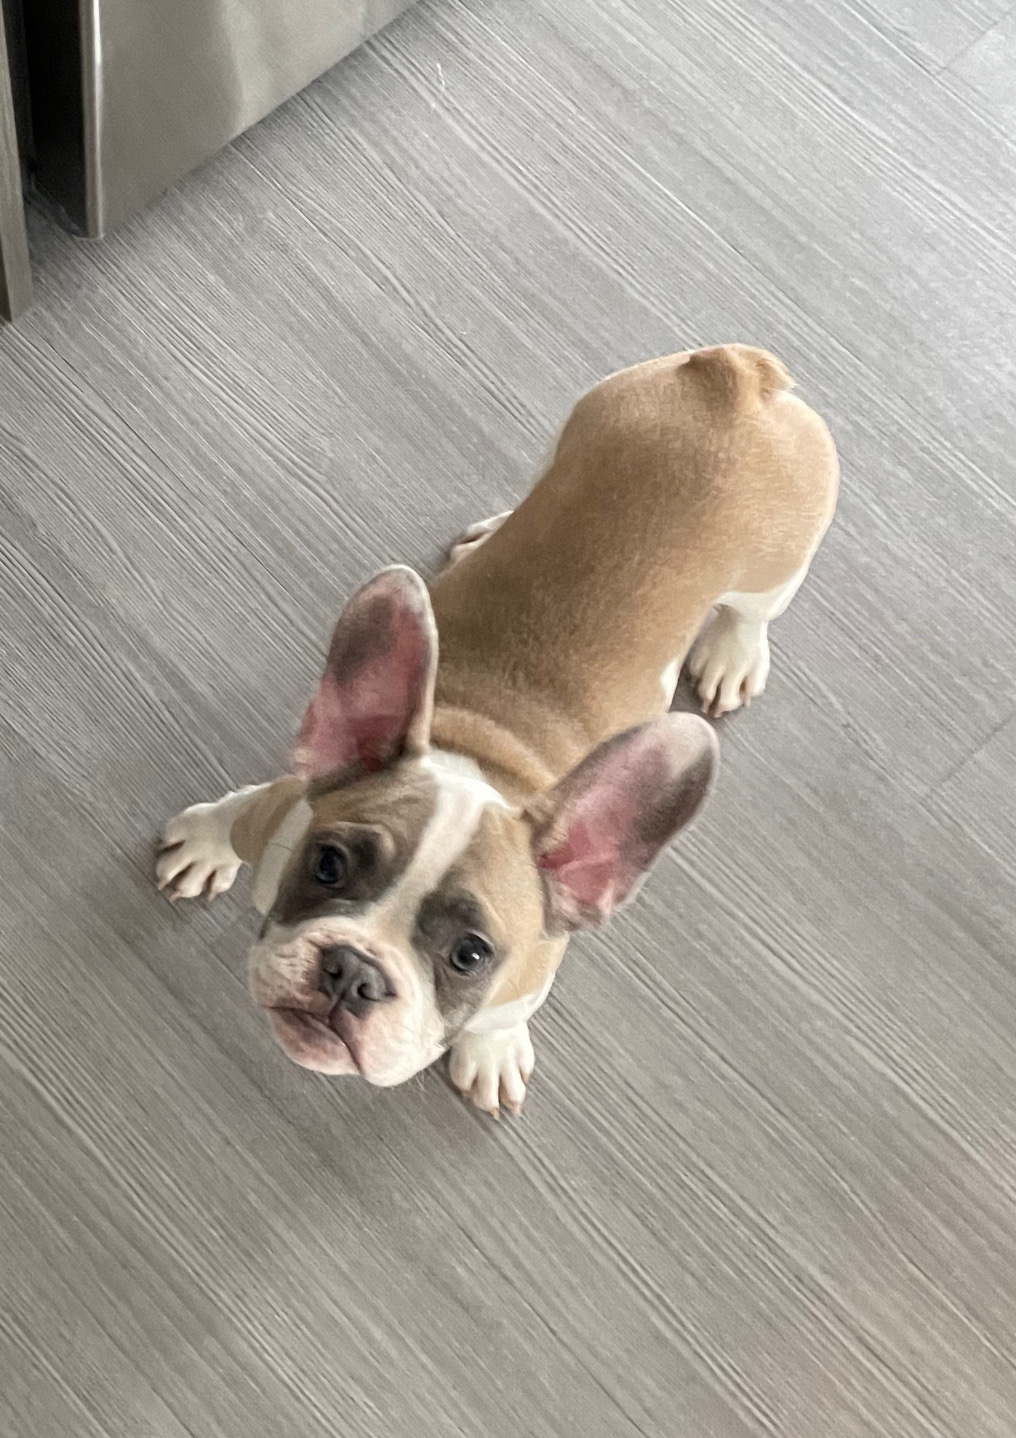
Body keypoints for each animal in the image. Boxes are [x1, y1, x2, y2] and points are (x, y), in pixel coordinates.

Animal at [156, 345, 838, 1117]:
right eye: (327, 864)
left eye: (470, 954)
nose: (353, 971)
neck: (486, 760)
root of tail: (735, 378)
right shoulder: (281, 805)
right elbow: (231, 815)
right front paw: (203, 846)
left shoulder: (529, 976)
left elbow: (500, 1016)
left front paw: (490, 1049)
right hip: (576, 430)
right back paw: (493, 528)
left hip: (778, 570)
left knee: (752, 613)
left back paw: (733, 651)